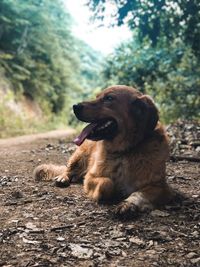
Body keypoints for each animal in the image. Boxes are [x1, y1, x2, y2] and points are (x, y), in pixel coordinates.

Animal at [33, 86, 173, 218]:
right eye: (97, 96)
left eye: (109, 98)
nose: (75, 106)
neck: (124, 151)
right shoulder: (91, 177)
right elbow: (107, 183)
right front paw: (115, 192)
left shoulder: (161, 187)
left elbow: (139, 193)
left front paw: (128, 204)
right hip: (79, 156)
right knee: (69, 169)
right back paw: (63, 177)